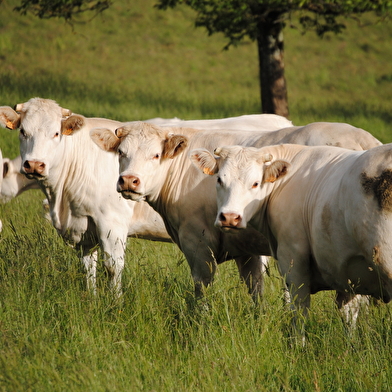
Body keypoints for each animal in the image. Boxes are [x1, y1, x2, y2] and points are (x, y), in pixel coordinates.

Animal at [0, 99, 172, 296]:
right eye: (23, 131)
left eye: (56, 133)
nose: (35, 164)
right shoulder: (83, 226)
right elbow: (88, 267)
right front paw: (91, 298)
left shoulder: (113, 221)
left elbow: (113, 268)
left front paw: (116, 301)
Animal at [89, 121, 382, 302]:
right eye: (121, 152)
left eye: (156, 155)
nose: (129, 181)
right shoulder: (247, 248)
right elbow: (255, 289)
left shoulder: (198, 241)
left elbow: (202, 286)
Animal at [192, 142, 392, 330]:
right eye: (219, 179)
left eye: (255, 183)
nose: (229, 217)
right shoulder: (345, 270)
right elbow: (348, 317)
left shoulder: (293, 260)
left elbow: (299, 314)